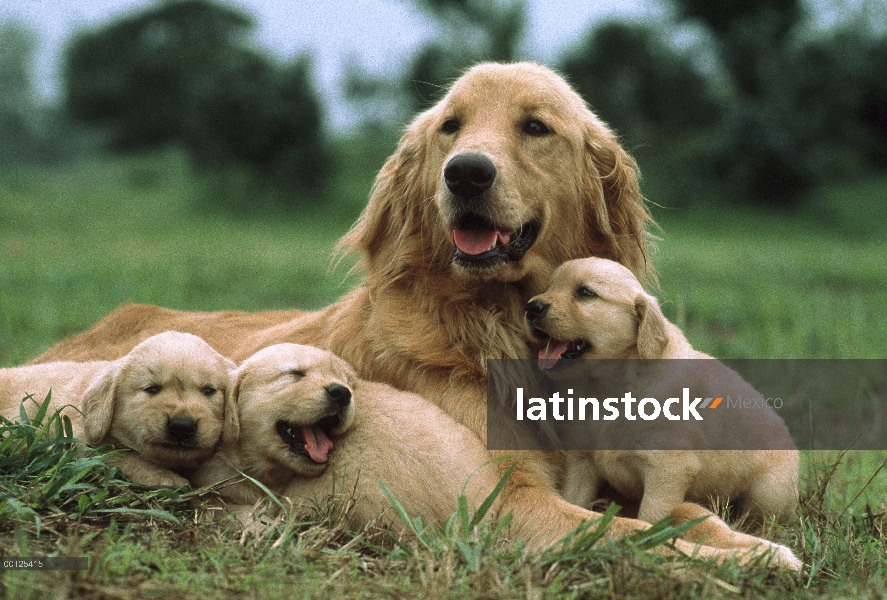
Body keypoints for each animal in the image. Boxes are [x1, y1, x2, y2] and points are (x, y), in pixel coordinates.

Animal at [0, 330, 236, 490]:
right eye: (152, 389)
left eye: (208, 390)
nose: (182, 427)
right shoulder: (73, 440)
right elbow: (121, 456)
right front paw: (164, 477)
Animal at [524, 258, 800, 524]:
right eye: (549, 286)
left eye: (585, 292)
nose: (531, 307)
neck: (610, 385)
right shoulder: (581, 461)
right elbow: (573, 500)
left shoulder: (667, 471)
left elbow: (652, 516)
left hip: (768, 492)